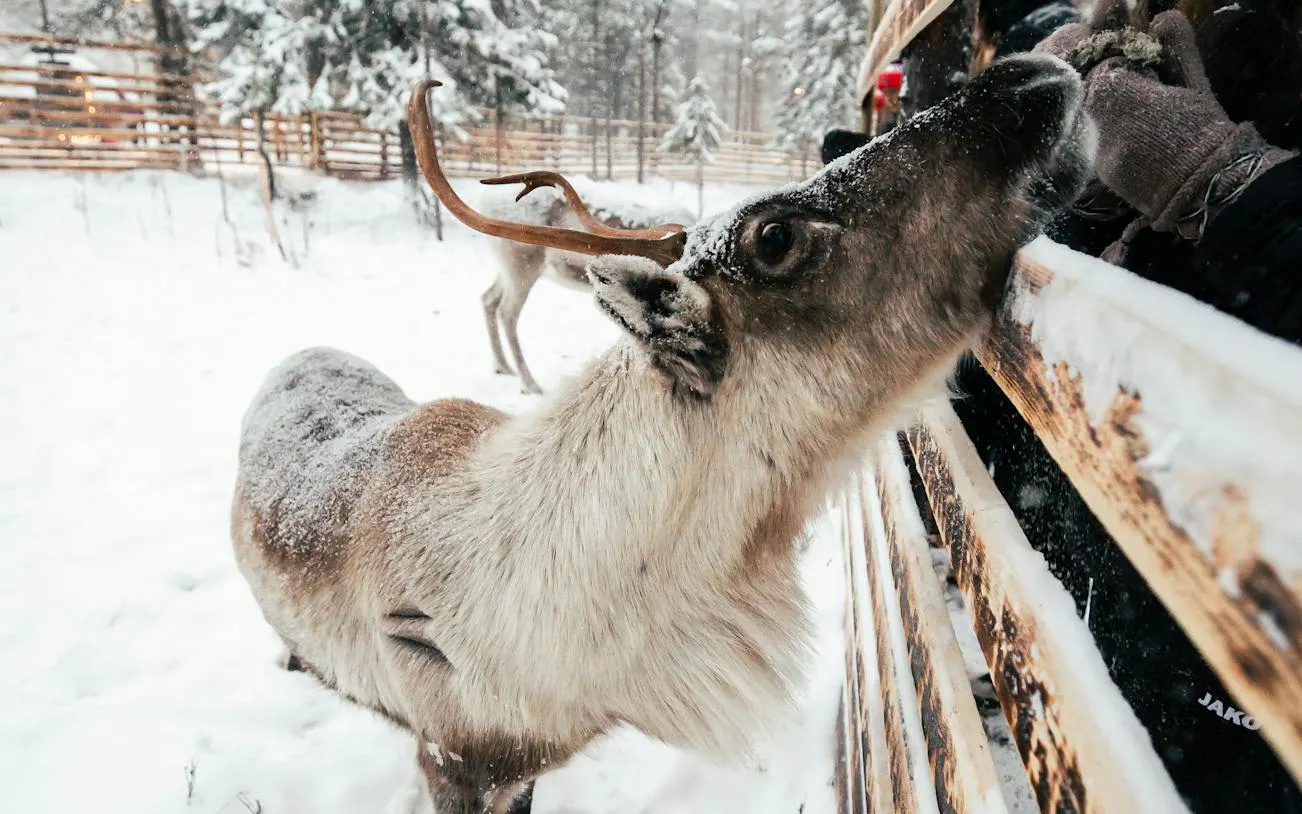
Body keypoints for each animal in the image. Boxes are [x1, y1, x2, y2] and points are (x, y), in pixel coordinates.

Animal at [476, 172, 695, 394]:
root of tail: (484, 199)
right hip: (521, 266)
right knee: (507, 312)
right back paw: (530, 384)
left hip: (507, 269)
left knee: (488, 298)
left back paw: (502, 366)